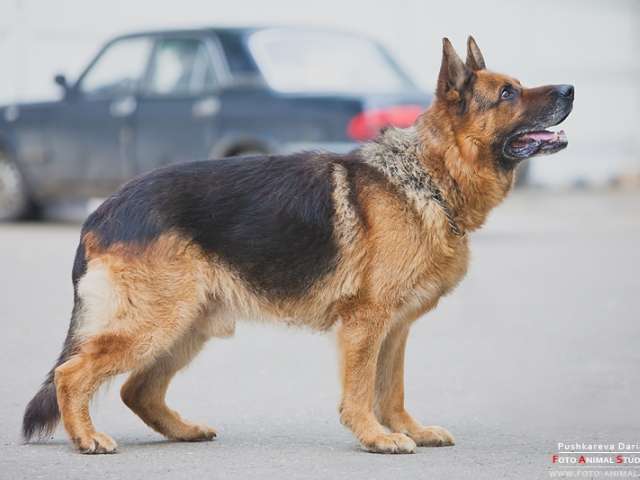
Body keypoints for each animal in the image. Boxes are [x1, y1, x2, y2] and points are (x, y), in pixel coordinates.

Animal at [23, 37, 576, 454]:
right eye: (507, 93)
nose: (571, 88)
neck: (430, 176)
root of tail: (103, 210)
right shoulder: (366, 324)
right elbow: (361, 391)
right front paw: (375, 437)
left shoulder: (395, 328)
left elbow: (391, 390)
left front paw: (408, 430)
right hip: (156, 322)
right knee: (72, 373)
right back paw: (87, 438)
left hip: (188, 325)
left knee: (137, 388)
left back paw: (182, 430)